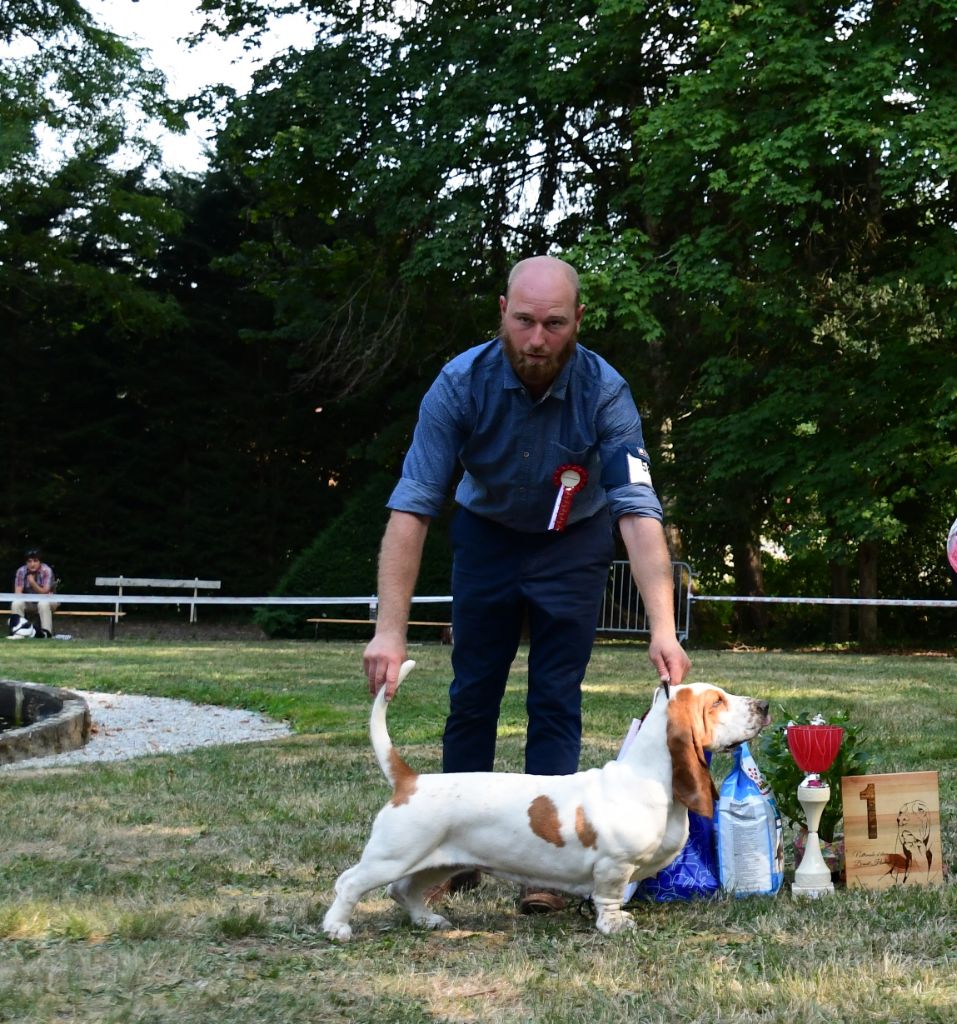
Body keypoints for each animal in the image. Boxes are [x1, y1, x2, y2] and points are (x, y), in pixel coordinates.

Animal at [323, 659, 769, 937]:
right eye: (716, 701)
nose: (764, 705)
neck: (649, 776)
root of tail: (410, 780)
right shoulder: (614, 865)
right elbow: (608, 898)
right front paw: (614, 925)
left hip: (437, 861)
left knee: (403, 891)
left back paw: (428, 920)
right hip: (392, 855)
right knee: (350, 882)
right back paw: (336, 927)